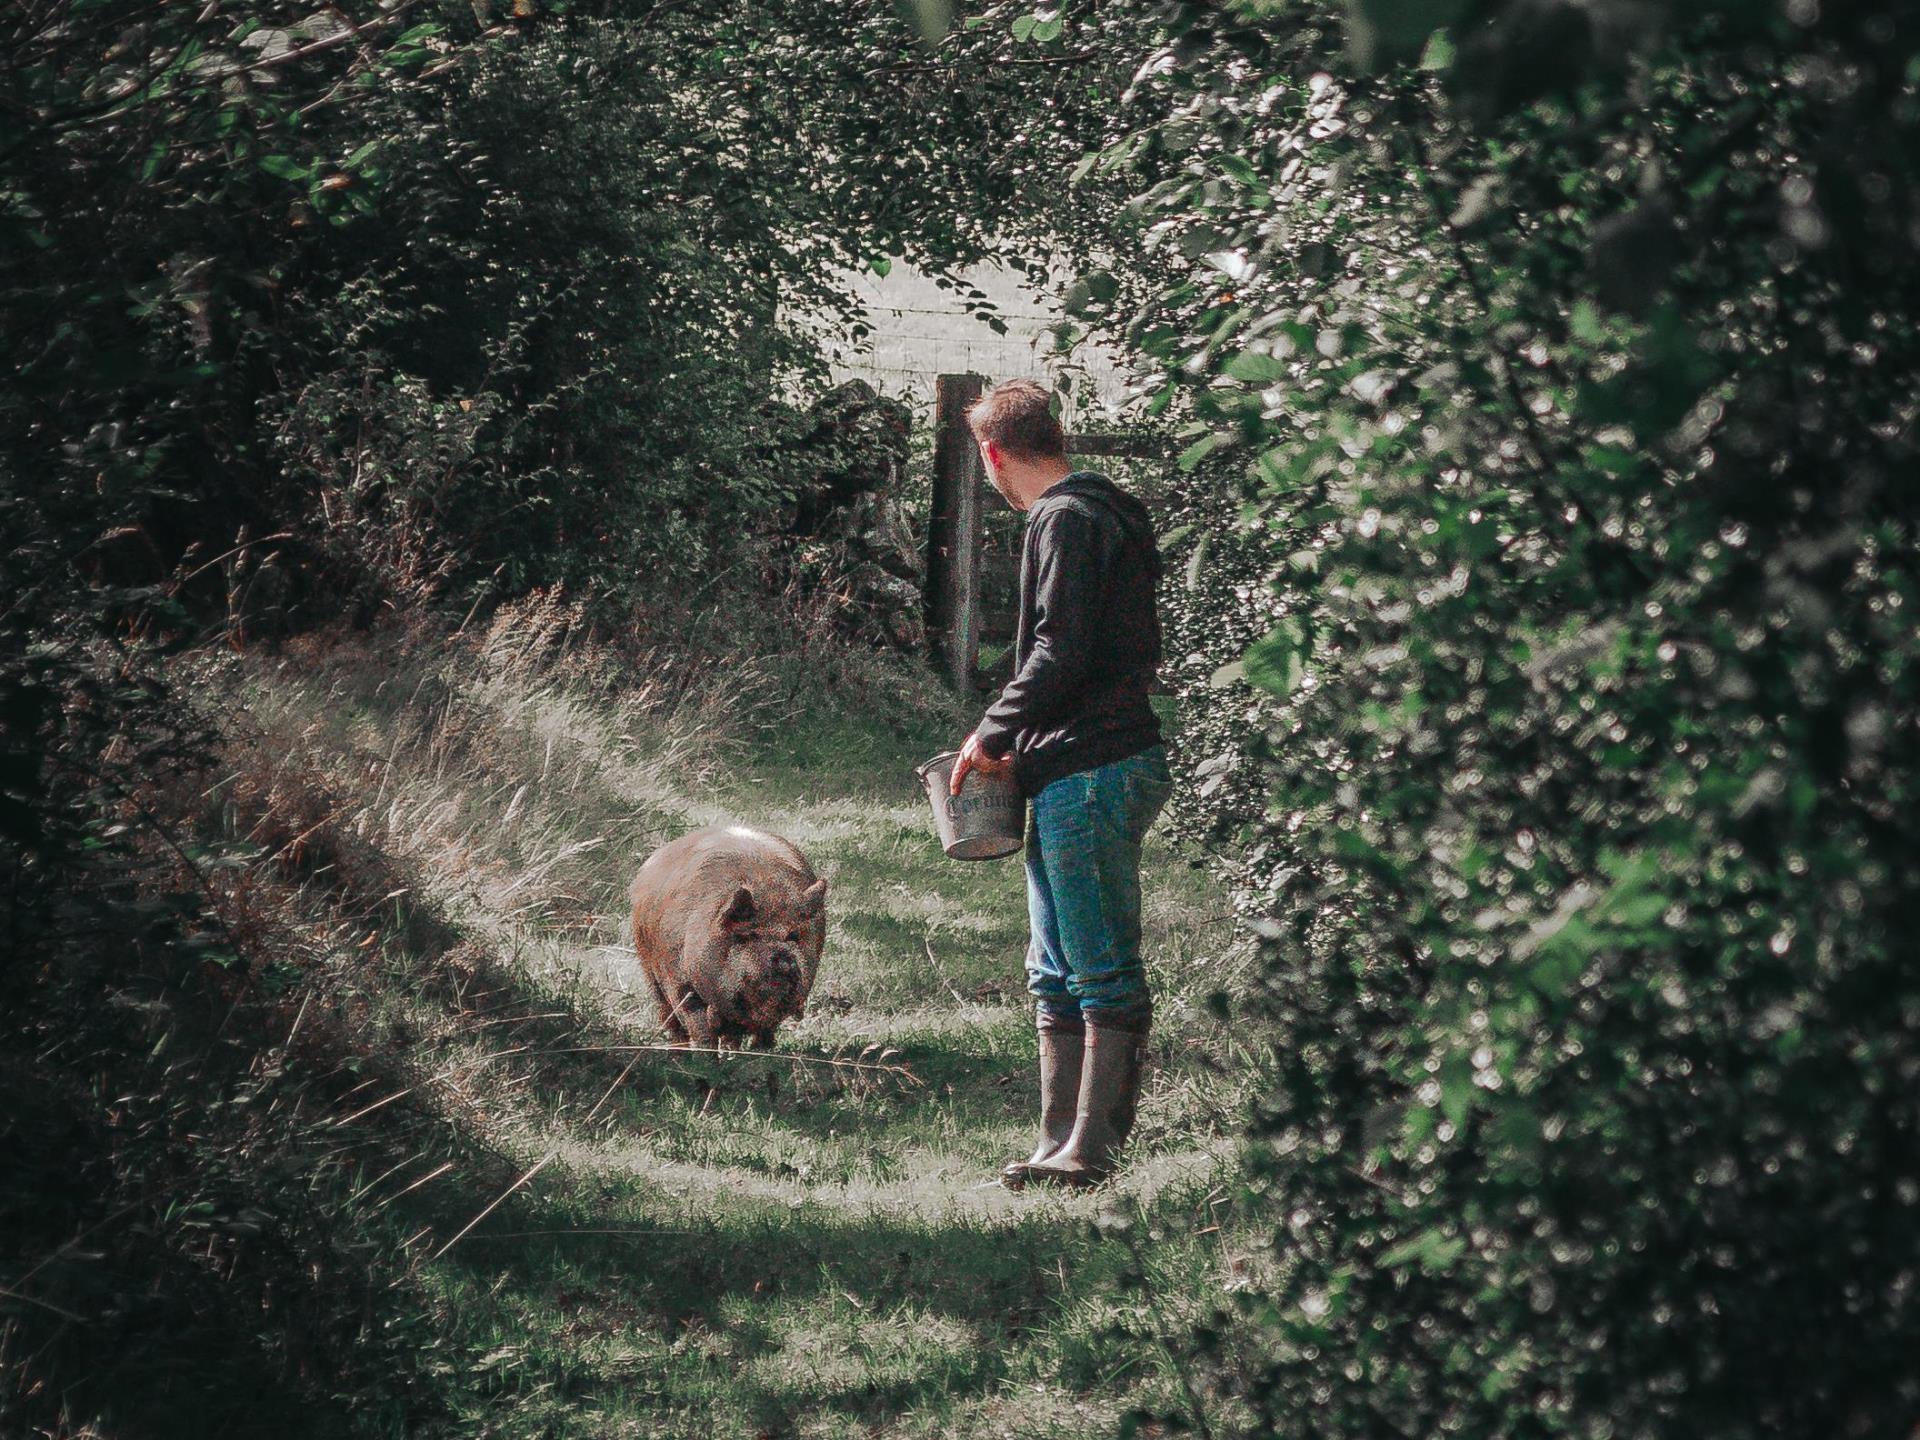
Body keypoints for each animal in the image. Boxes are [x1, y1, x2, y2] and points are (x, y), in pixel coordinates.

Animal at [629, 829, 825, 1052]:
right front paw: (706, 1058)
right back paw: (679, 1053)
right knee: (670, 1019)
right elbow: (700, 1028)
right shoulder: (679, 983)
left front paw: (759, 1055)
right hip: (648, 969)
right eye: (748, 936)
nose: (782, 958)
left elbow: (764, 1031)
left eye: (793, 935)